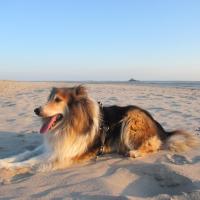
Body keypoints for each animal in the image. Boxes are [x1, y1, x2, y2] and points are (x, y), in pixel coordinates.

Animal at [0, 85, 199, 173]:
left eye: (57, 100)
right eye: (49, 98)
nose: (36, 110)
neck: (69, 124)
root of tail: (158, 126)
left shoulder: (61, 154)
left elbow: (31, 160)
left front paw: (10, 166)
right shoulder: (53, 146)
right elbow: (26, 153)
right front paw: (6, 161)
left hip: (132, 119)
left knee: (154, 144)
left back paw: (134, 152)